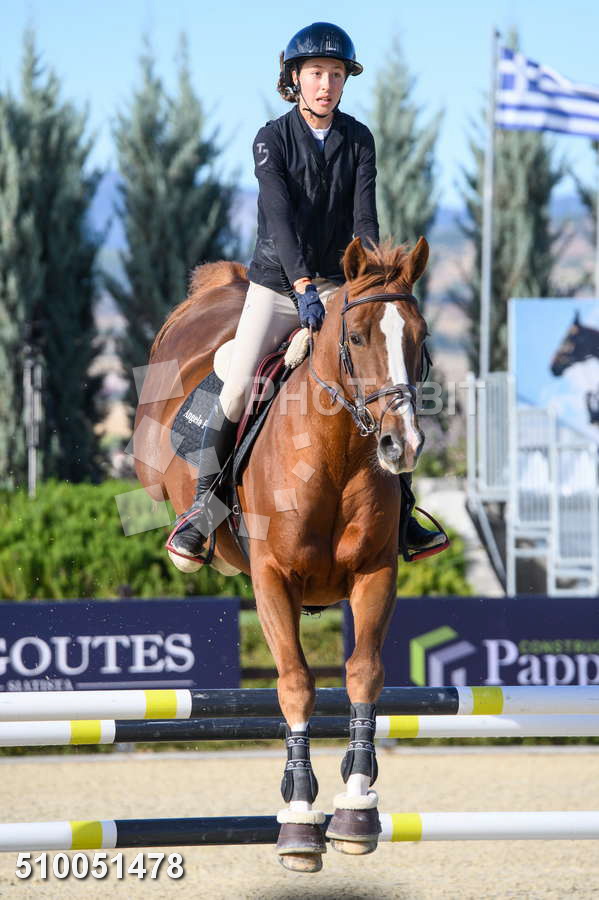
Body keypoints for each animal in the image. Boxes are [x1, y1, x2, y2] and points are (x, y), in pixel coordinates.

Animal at [133, 235, 429, 872]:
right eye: (357, 338)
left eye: (419, 340)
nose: (402, 445)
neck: (335, 451)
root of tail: (222, 284)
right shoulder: (271, 579)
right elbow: (295, 682)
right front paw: (297, 815)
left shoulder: (376, 573)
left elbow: (363, 673)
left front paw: (356, 807)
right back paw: (191, 537)